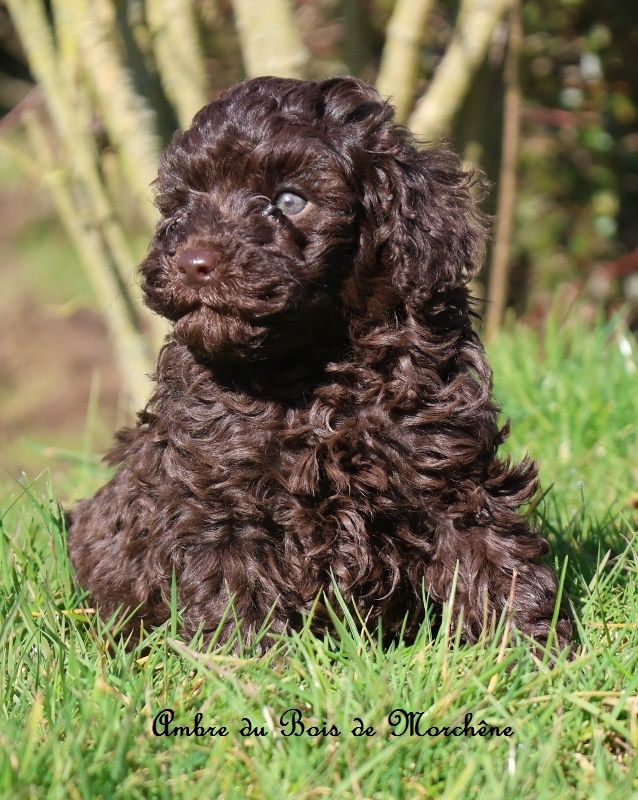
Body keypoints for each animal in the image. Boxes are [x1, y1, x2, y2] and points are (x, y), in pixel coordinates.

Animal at [70, 75, 576, 648]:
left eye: (290, 200)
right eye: (183, 202)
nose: (194, 261)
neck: (310, 375)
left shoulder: (446, 465)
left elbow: (490, 551)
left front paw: (531, 652)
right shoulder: (215, 499)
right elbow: (232, 591)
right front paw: (247, 665)